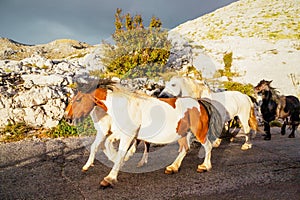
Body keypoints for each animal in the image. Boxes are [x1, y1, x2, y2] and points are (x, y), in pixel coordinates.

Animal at [63, 83, 223, 188]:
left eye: (78, 99)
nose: (67, 118)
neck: (123, 106)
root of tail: (200, 102)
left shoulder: (127, 136)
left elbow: (120, 154)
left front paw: (110, 178)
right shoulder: (117, 134)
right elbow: (106, 146)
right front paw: (90, 165)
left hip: (199, 132)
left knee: (208, 146)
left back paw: (205, 166)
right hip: (182, 134)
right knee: (185, 148)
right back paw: (172, 167)